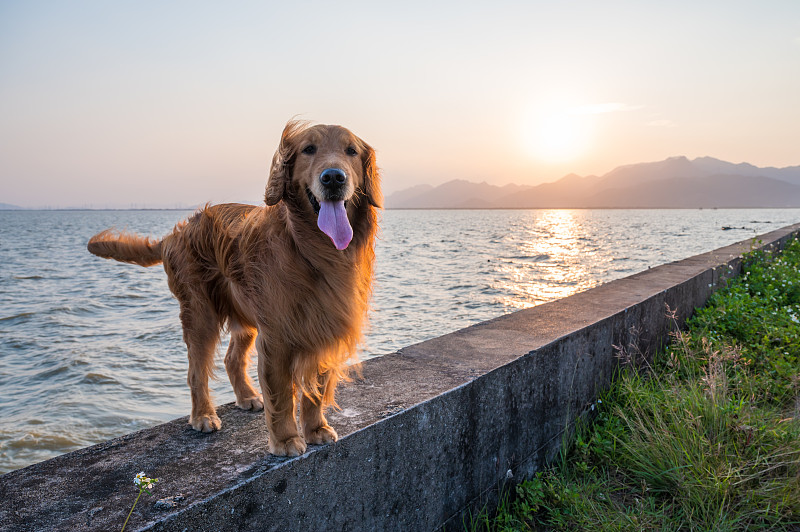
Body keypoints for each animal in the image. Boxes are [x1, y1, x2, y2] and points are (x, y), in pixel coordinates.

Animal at [89, 122, 382, 456]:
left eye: (351, 151)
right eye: (309, 149)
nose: (333, 177)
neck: (313, 250)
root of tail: (177, 231)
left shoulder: (326, 322)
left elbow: (315, 388)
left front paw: (316, 428)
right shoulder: (277, 336)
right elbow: (282, 394)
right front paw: (285, 440)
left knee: (232, 358)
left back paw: (247, 397)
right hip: (200, 313)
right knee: (196, 371)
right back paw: (203, 415)